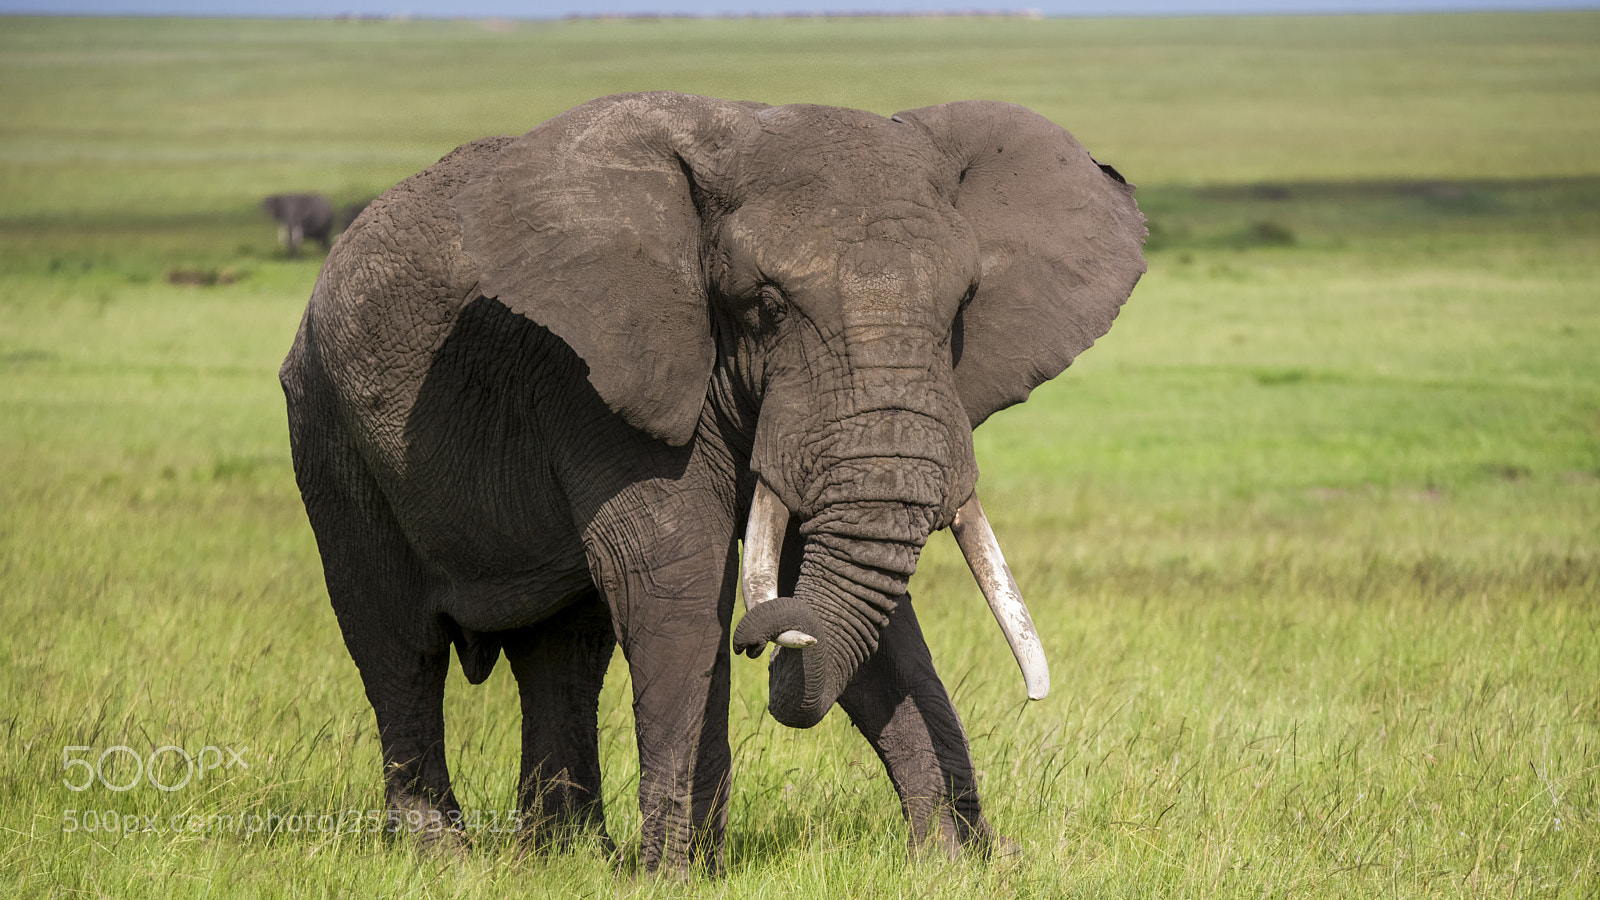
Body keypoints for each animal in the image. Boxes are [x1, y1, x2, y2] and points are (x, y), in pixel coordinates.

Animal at [279, 91, 1145, 875]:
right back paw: (446, 859)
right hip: (328, 428)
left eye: (963, 303)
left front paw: (957, 865)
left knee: (563, 650)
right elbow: (676, 585)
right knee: (399, 644)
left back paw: (563, 859)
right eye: (763, 305)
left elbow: (846, 599)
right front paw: (677, 876)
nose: (759, 637)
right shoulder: (596, 375)